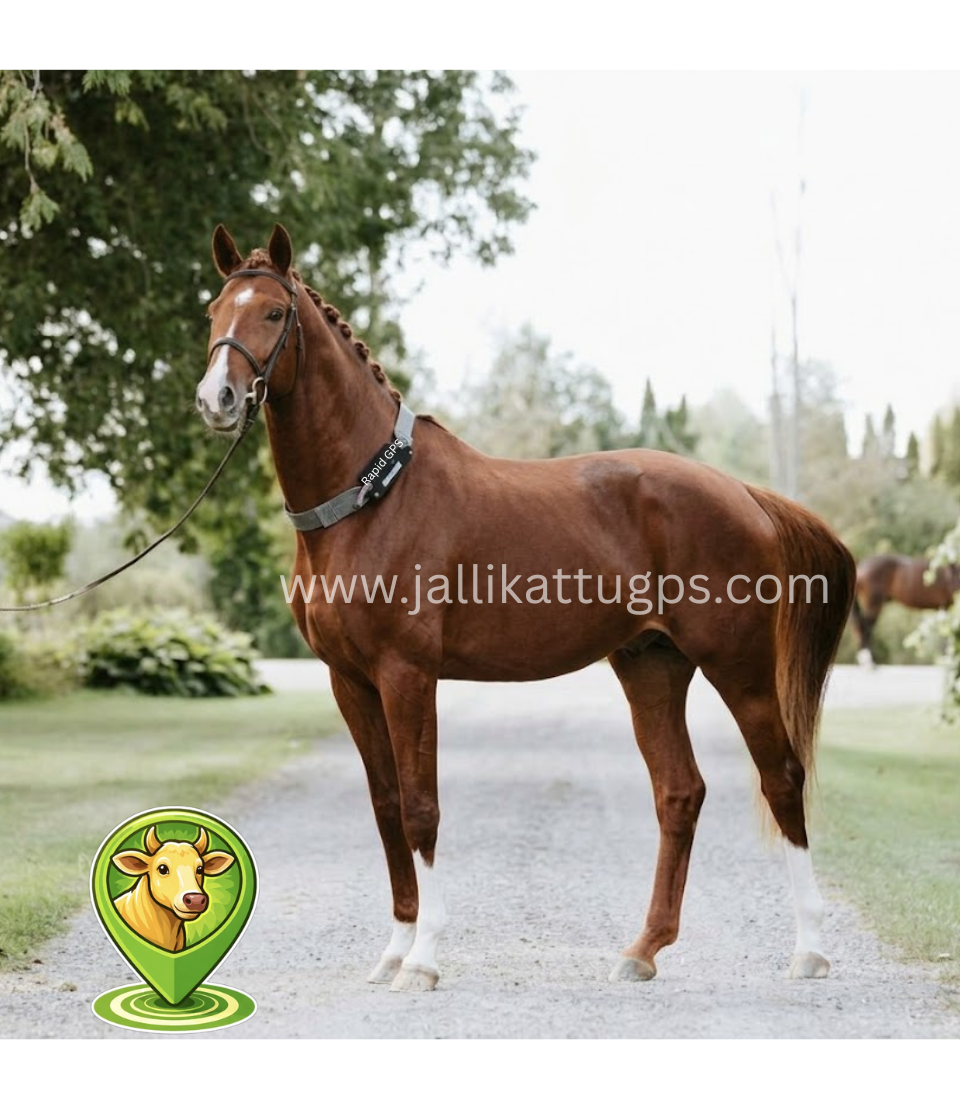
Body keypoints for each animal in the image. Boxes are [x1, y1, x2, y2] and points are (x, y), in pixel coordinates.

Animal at [195, 224, 856, 992]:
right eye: (214, 309)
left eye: (274, 312)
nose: (218, 398)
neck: (371, 498)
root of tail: (744, 493)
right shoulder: (350, 680)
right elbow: (387, 808)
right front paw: (394, 949)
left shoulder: (407, 674)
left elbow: (421, 808)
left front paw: (423, 959)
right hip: (651, 666)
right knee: (679, 792)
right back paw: (643, 949)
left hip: (739, 667)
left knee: (782, 777)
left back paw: (809, 949)